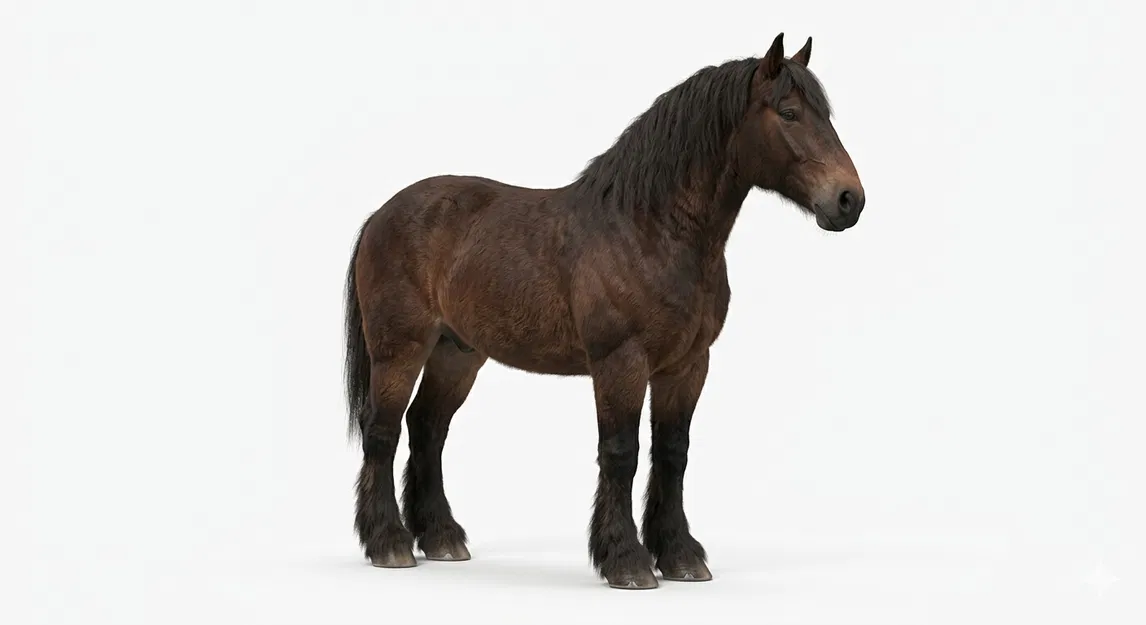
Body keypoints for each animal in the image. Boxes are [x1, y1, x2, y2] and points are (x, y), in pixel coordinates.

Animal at [343, 32, 865, 590]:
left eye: (825, 113)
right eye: (788, 112)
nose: (848, 200)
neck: (649, 229)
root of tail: (381, 215)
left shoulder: (687, 365)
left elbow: (672, 452)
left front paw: (680, 555)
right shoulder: (621, 362)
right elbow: (621, 452)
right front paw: (626, 560)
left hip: (456, 353)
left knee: (427, 429)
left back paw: (441, 538)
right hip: (400, 349)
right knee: (383, 431)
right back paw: (390, 544)